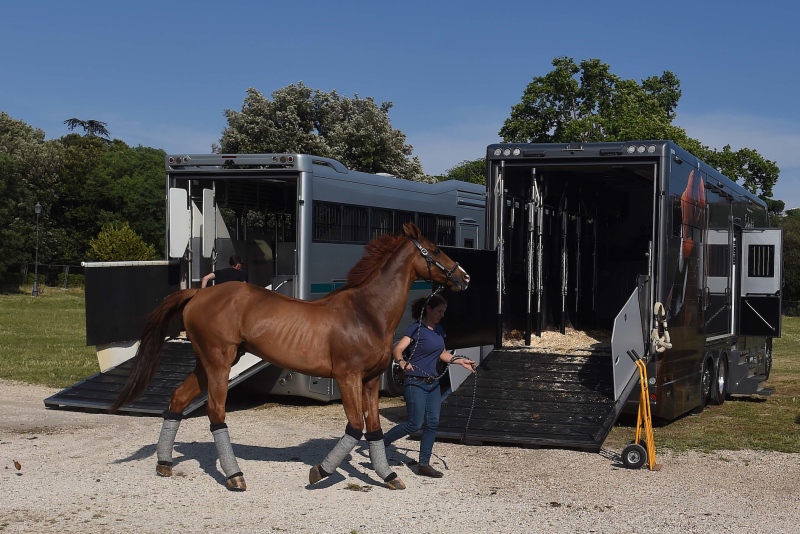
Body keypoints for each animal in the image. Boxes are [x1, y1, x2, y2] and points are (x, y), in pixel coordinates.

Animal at [112, 223, 468, 494]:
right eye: (435, 250)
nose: (463, 277)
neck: (366, 313)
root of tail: (199, 293)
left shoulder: (368, 381)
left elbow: (375, 430)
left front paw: (390, 476)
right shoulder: (348, 377)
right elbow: (355, 427)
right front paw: (319, 472)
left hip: (206, 364)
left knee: (176, 399)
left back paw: (164, 463)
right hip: (218, 363)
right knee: (215, 412)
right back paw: (235, 476)